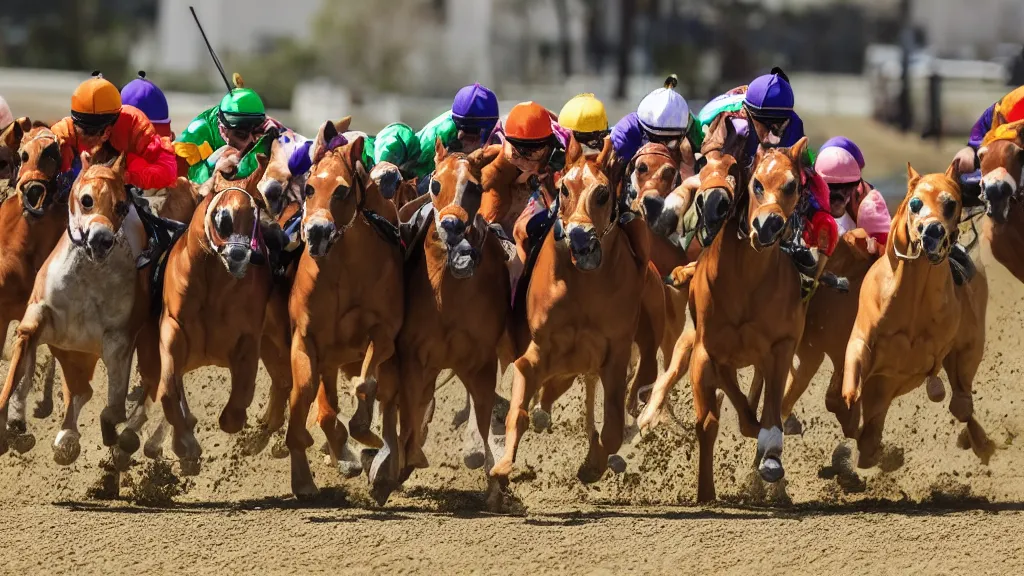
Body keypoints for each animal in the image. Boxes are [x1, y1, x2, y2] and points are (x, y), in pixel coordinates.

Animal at [286, 125, 405, 498]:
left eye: (342, 190)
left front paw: (364, 431)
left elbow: (366, 384)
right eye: (310, 187)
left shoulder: (384, 334)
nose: (317, 232)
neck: (341, 271)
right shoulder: (306, 339)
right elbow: (304, 396)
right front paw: (303, 478)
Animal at [491, 134, 651, 487]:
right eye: (564, 188)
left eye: (603, 193)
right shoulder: (539, 351)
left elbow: (614, 426)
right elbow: (519, 408)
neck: (583, 285)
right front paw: (503, 467)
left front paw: (593, 464)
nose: (580, 239)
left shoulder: (615, 354)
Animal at [831, 165, 991, 467]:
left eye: (951, 203)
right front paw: (847, 402)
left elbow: (959, 401)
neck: (913, 300)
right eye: (915, 203)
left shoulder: (961, 347)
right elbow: (851, 380)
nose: (932, 231)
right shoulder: (864, 343)